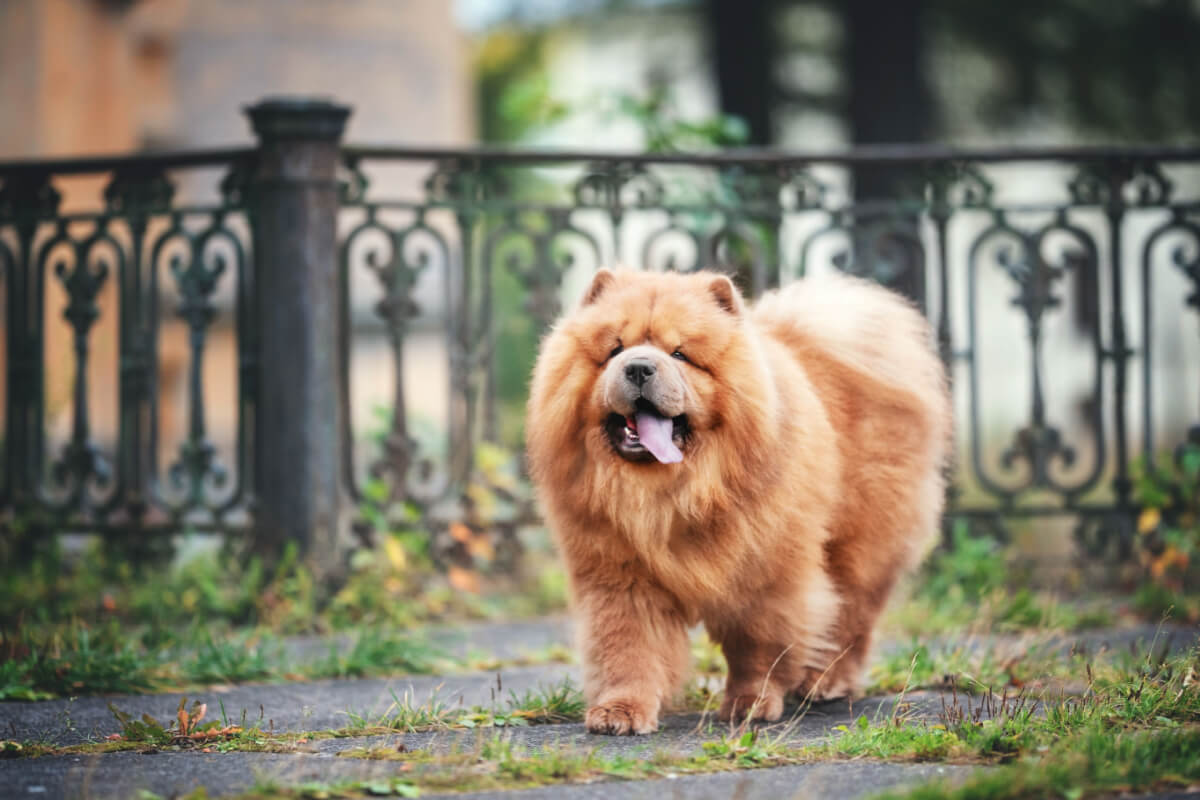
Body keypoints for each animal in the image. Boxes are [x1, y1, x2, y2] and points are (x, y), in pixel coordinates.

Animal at [530, 271, 950, 738]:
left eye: (680, 354)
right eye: (615, 350)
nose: (638, 366)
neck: (670, 492)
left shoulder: (765, 574)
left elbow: (757, 645)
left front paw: (750, 704)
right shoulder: (622, 578)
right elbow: (627, 647)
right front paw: (620, 710)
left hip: (860, 545)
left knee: (851, 618)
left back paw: (825, 681)